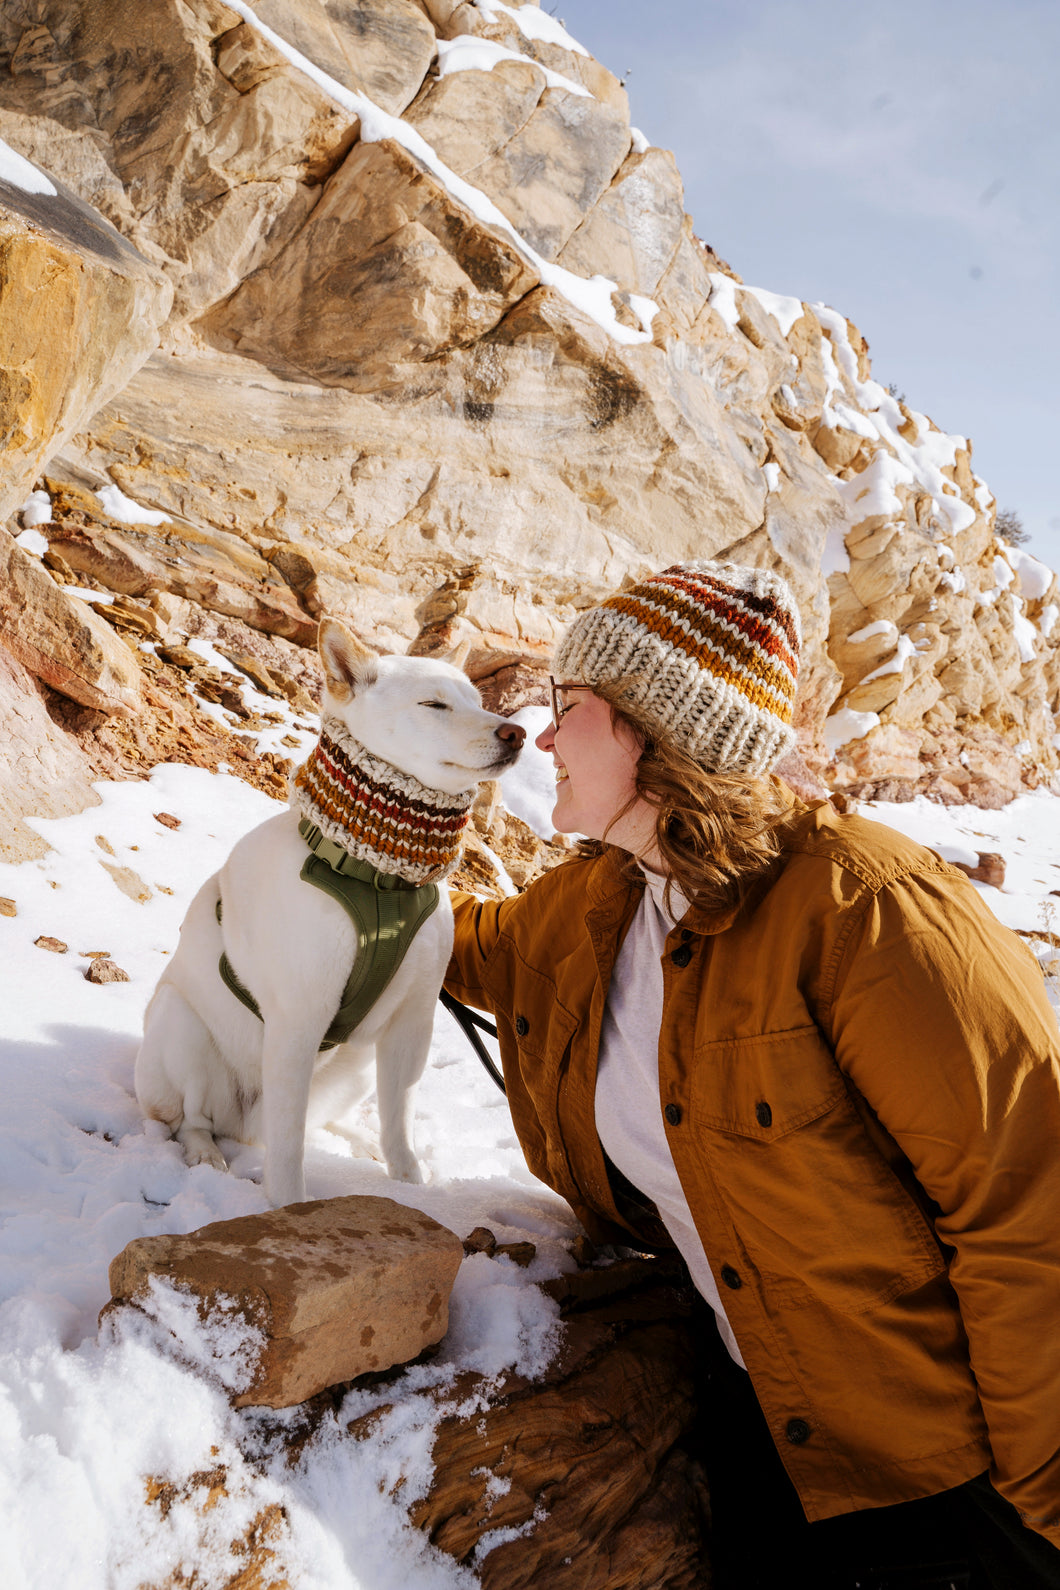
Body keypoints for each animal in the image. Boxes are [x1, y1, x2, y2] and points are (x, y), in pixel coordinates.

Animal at [136, 620, 527, 1202]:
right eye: (434, 704)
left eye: (478, 703)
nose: (515, 733)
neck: (379, 877)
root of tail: (243, 1127)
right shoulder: (300, 1019)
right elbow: (288, 1152)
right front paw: (287, 1206)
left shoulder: (414, 1021)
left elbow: (399, 1120)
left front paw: (410, 1186)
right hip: (179, 1026)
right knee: (194, 1121)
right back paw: (206, 1151)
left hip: (359, 1065)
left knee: (325, 1119)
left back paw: (355, 1138)